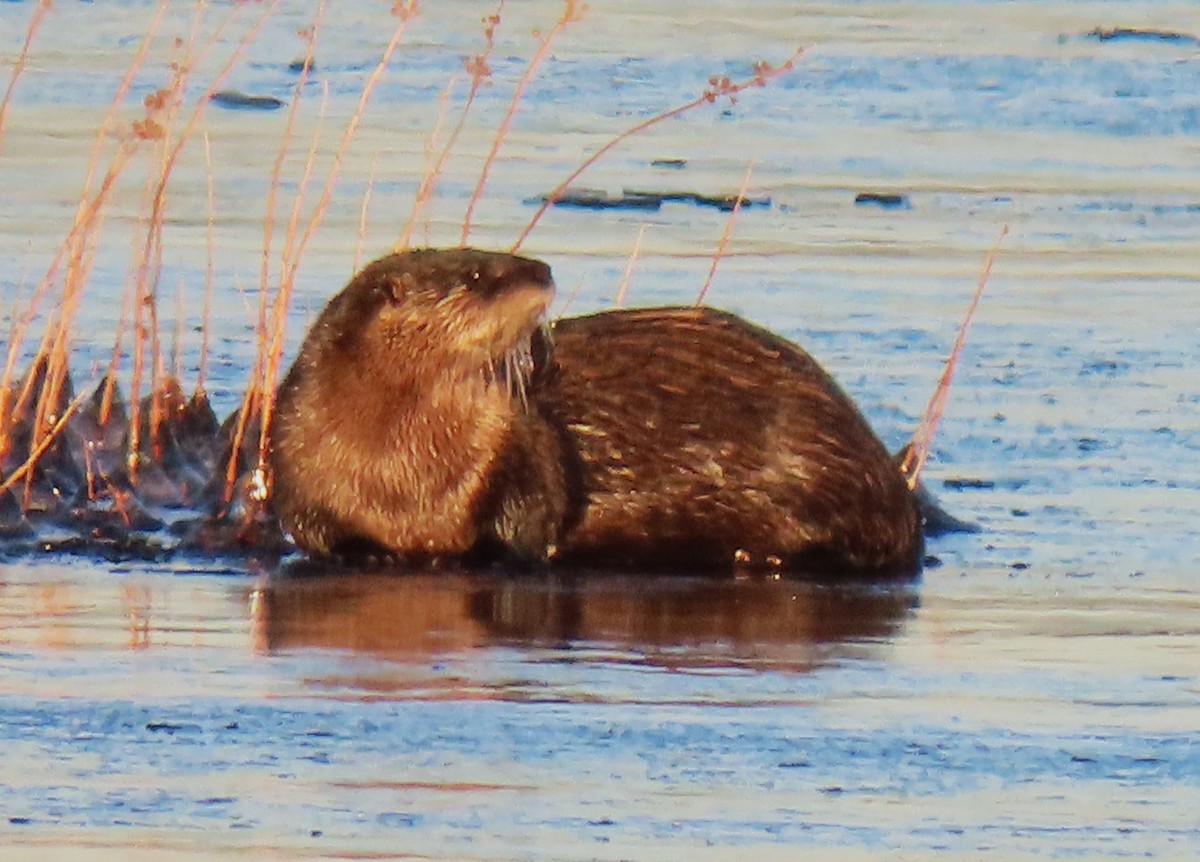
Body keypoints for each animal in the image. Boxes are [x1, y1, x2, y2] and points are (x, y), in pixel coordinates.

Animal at [269, 248, 924, 577]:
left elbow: (533, 521)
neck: (403, 474)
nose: (542, 269)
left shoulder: (519, 442)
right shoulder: (295, 456)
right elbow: (312, 531)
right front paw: (363, 551)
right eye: (478, 272)